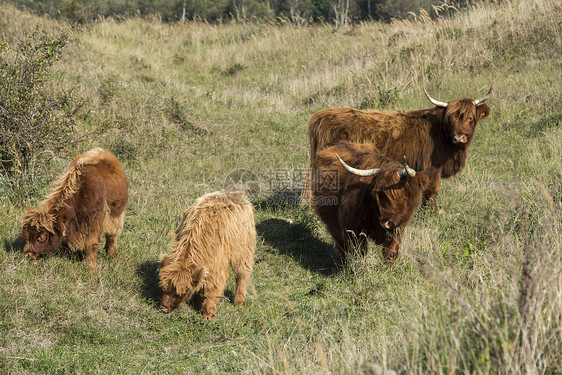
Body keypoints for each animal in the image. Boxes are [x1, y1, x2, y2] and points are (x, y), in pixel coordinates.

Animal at [158, 191, 254, 320]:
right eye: (163, 288)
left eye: (180, 293)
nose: (164, 308)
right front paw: (197, 304)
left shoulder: (217, 264)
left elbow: (211, 287)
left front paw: (208, 313)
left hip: (244, 250)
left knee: (241, 274)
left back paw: (239, 302)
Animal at [306, 84, 490, 209]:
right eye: (451, 118)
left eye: (470, 118)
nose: (459, 137)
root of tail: (321, 116)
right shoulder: (432, 170)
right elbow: (431, 192)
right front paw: (430, 213)